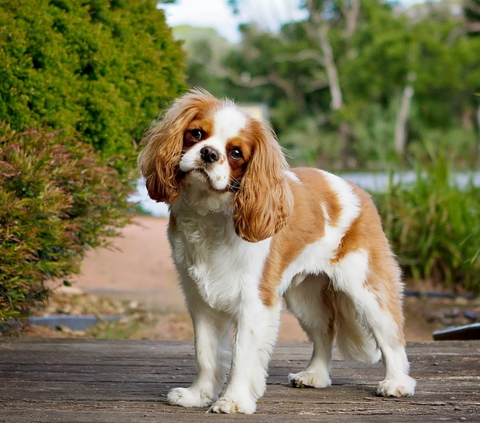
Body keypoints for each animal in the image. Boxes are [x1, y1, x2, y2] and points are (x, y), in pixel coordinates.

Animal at [137, 88, 414, 414]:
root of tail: (356, 188)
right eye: (196, 134)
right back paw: (315, 376)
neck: (210, 214)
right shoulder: (201, 301)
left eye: (236, 153)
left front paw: (233, 400)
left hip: (365, 287)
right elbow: (205, 353)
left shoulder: (255, 301)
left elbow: (242, 355)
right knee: (325, 331)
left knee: (391, 335)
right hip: (305, 297)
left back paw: (397, 383)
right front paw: (199, 395)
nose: (209, 153)